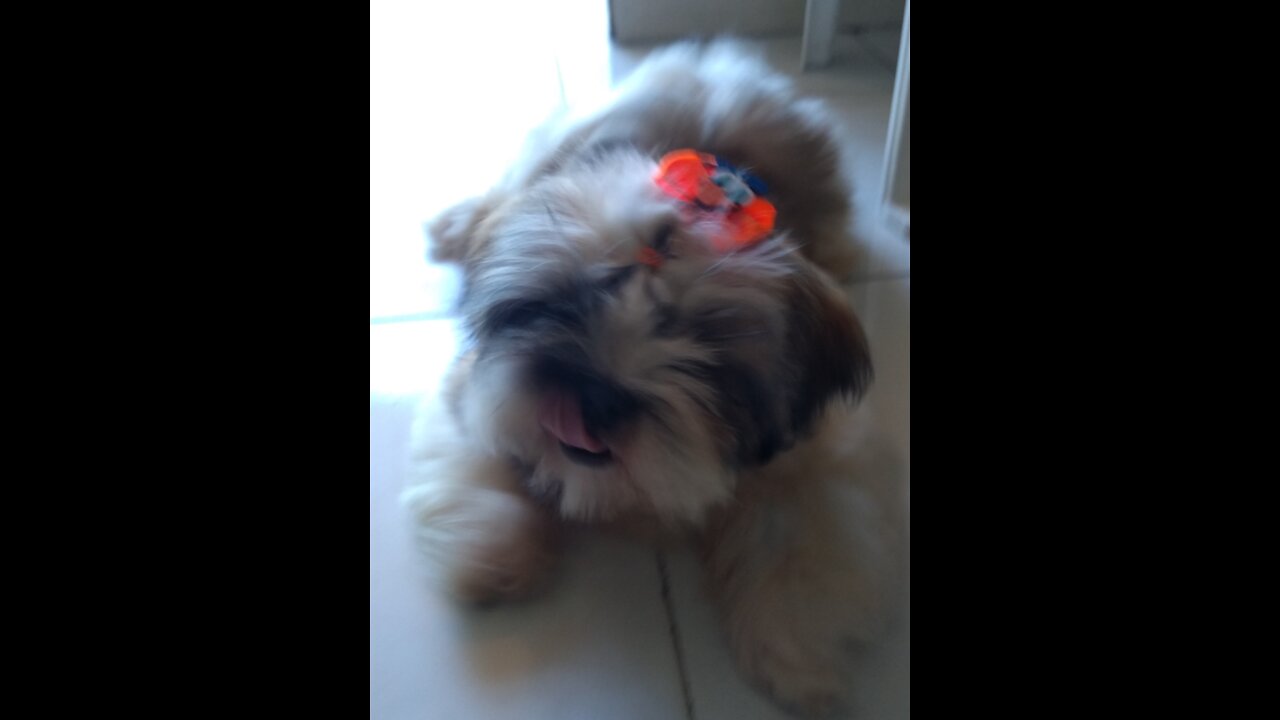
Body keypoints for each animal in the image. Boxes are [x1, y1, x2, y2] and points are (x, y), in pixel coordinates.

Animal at [404, 40, 906, 717]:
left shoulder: (820, 458)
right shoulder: (472, 391)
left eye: (702, 341)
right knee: (500, 191)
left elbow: (799, 543)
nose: (595, 397)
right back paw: (456, 226)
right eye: (574, 298)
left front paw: (796, 654)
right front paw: (489, 554)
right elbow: (479, 463)